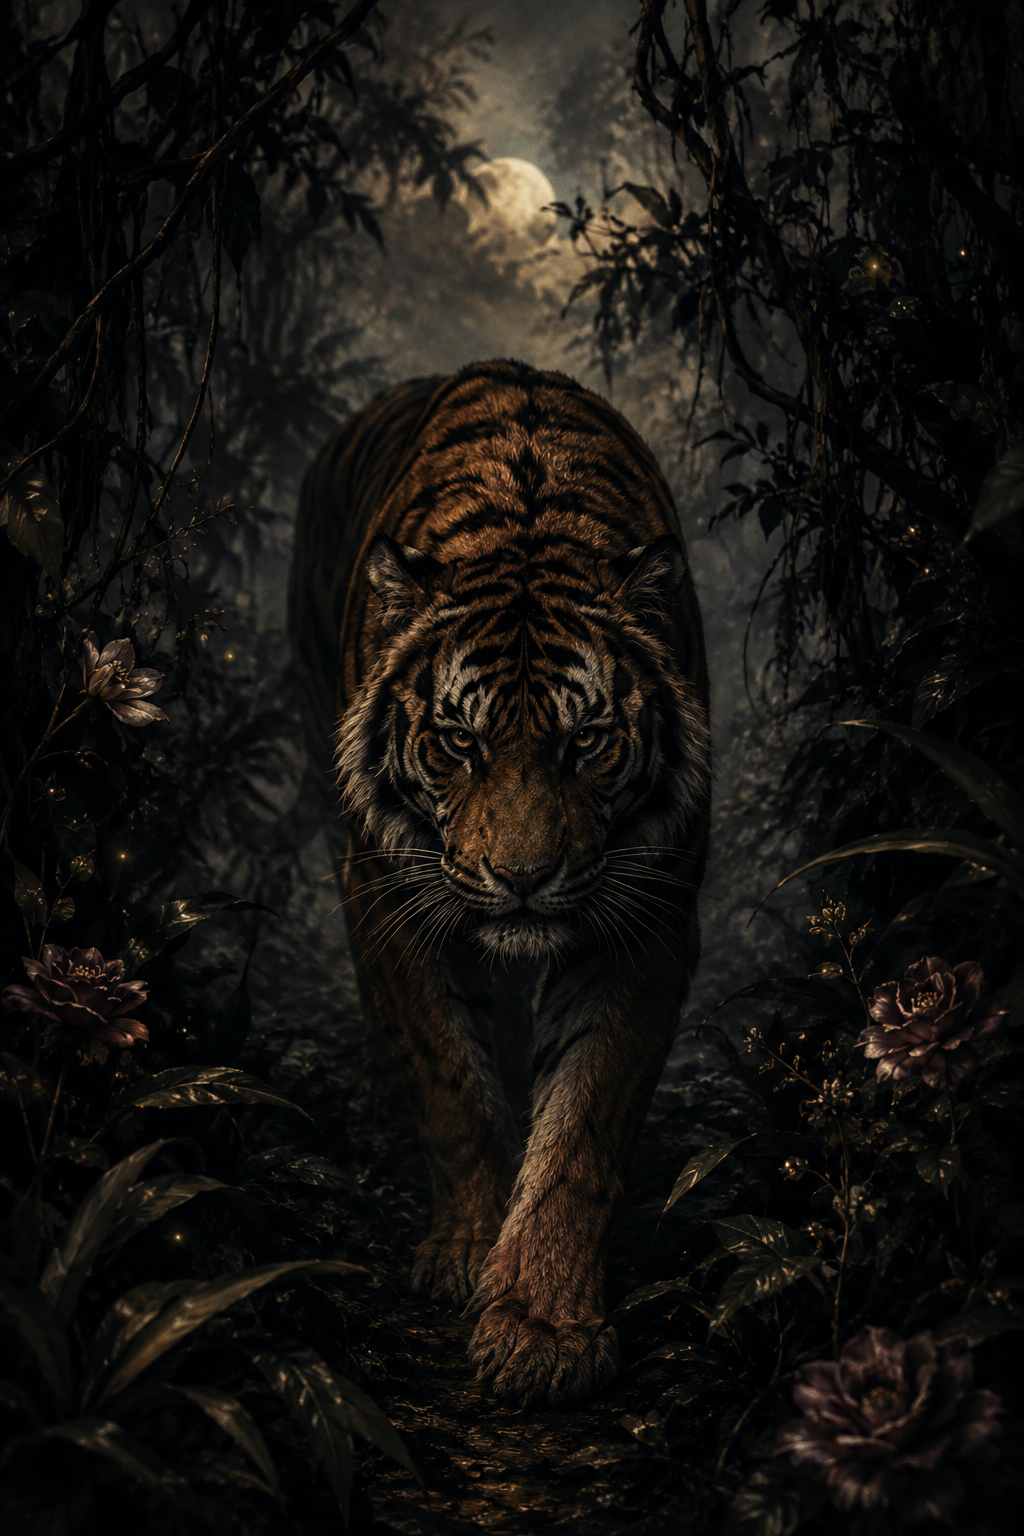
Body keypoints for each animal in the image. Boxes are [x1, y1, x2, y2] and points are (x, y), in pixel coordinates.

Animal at [289, 359, 710, 1407]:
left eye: (587, 743)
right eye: (458, 742)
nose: (522, 879)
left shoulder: (644, 920)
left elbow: (582, 1131)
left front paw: (543, 1327)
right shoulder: (393, 899)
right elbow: (451, 1086)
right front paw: (466, 1253)